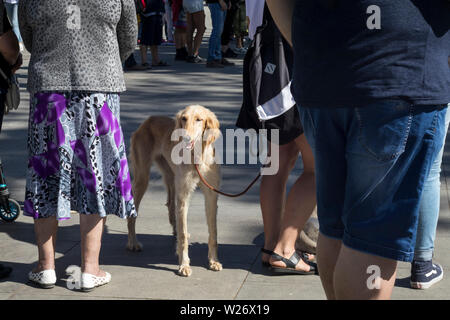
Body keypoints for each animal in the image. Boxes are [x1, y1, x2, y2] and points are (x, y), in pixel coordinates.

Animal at [127, 105, 222, 278]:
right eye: (184, 119)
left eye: (199, 119)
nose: (185, 138)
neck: (196, 157)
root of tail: (149, 119)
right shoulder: (184, 195)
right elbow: (184, 235)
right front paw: (184, 265)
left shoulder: (211, 196)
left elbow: (213, 232)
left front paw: (213, 261)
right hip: (142, 179)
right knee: (133, 213)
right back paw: (132, 242)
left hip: (171, 177)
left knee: (171, 205)